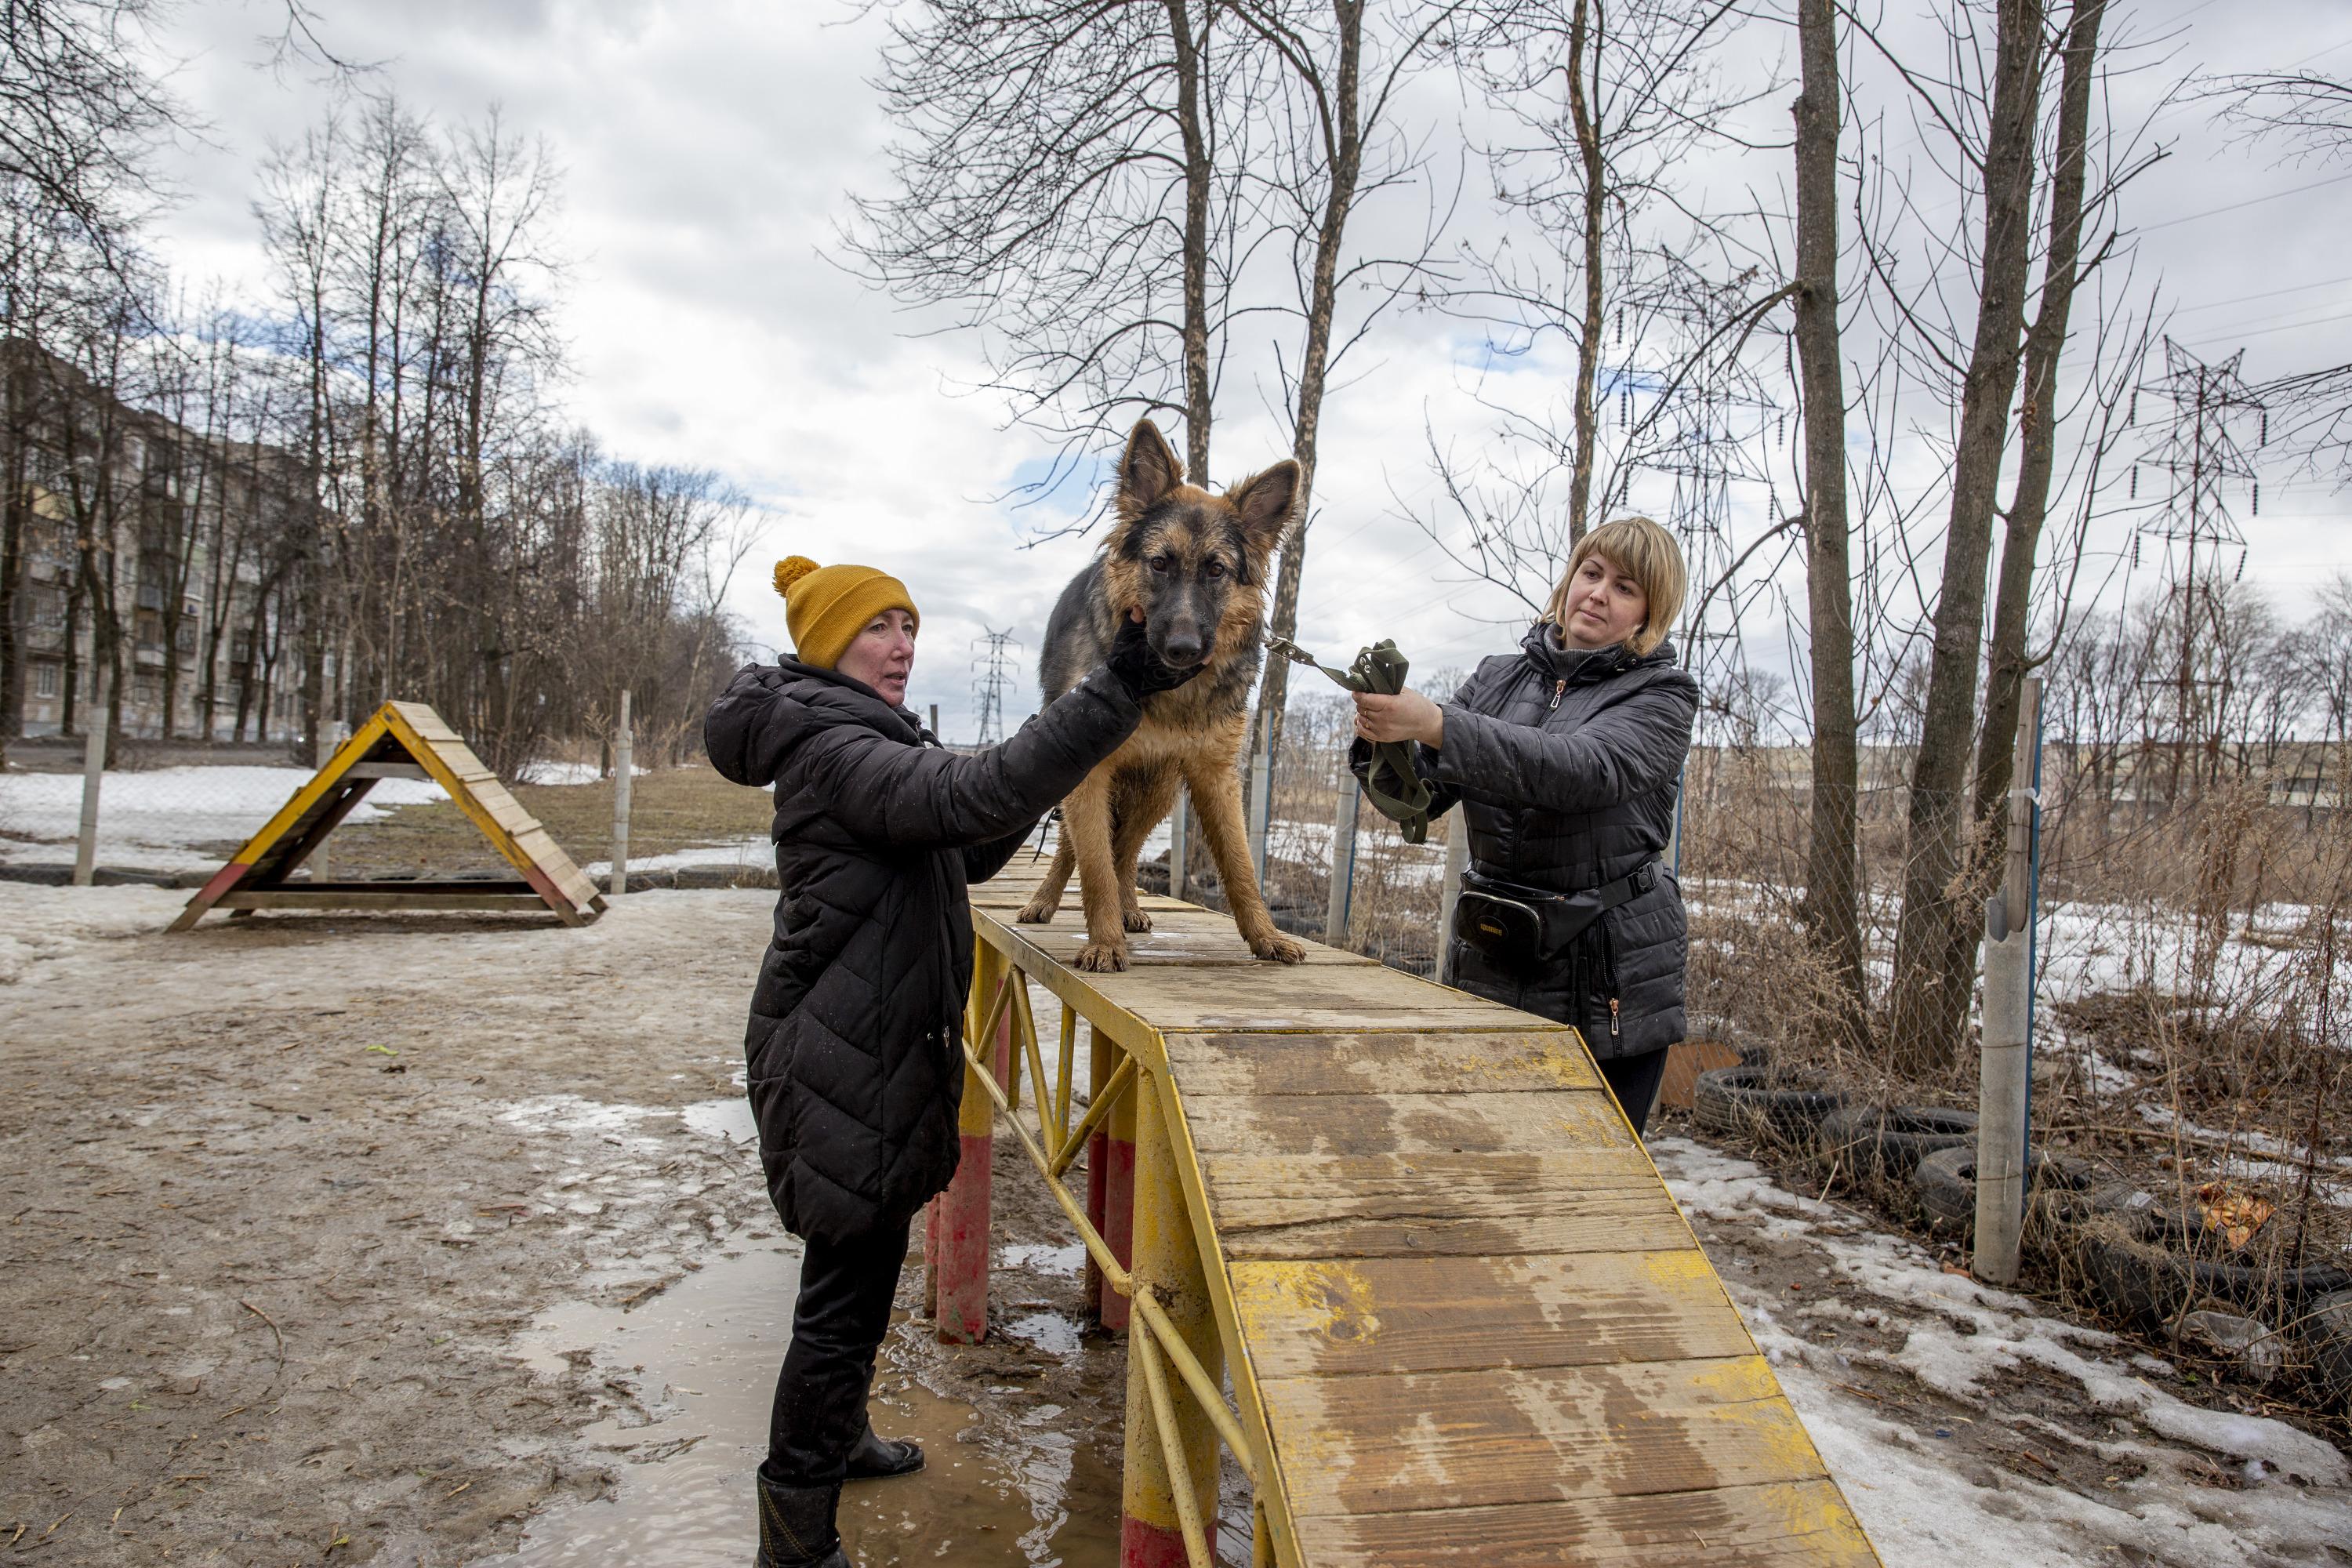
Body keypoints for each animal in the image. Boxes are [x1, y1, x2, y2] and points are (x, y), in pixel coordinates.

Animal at [1011, 423, 1308, 973]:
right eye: (1159, 564)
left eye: (1216, 571)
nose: (1183, 649)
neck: (1168, 694)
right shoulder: (1089, 775)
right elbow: (1094, 867)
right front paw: (1104, 943)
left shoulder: (1216, 776)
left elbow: (1240, 867)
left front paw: (1266, 936)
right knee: (1077, 850)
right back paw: (1045, 901)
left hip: (1159, 789)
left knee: (1126, 851)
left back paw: (1130, 908)